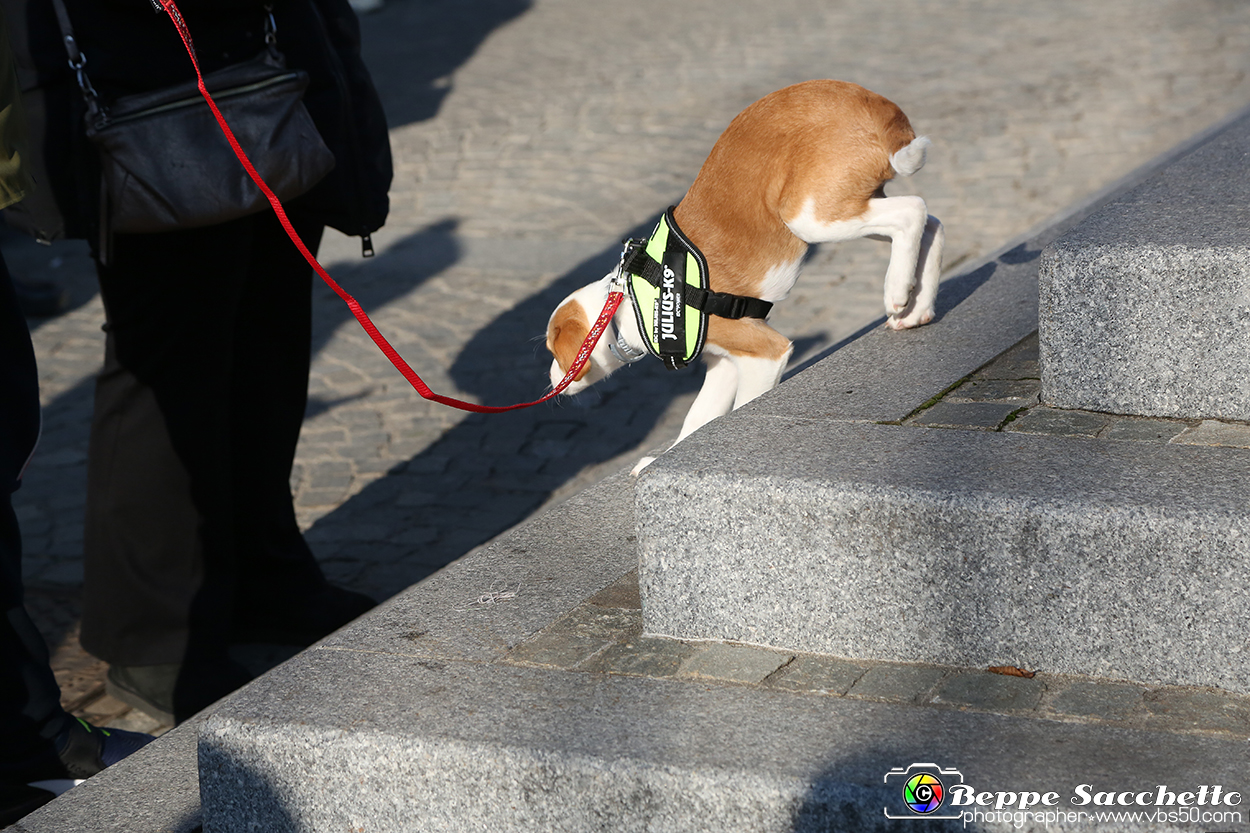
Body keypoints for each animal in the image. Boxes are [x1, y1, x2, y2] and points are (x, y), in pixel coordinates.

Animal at [542, 80, 940, 470]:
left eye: (553, 351)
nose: (549, 383)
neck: (631, 301)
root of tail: (872, 102)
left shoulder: (764, 353)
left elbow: (740, 406)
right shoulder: (724, 363)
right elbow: (697, 418)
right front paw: (661, 461)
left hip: (810, 216)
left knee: (913, 210)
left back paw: (897, 291)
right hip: (846, 207)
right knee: (931, 223)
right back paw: (917, 309)